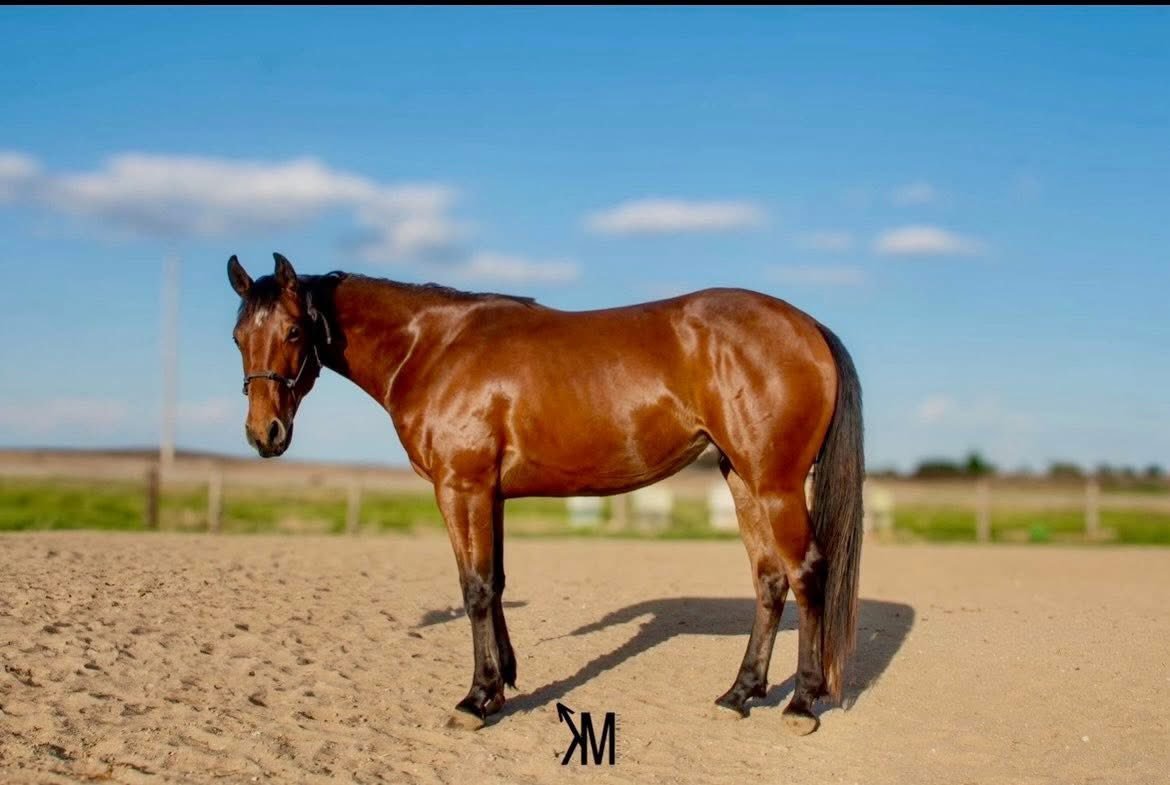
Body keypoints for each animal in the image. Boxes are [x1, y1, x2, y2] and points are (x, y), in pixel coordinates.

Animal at [227, 252, 864, 734]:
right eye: (237, 337)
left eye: (293, 331)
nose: (265, 434)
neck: (433, 346)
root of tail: (807, 326)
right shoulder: (490, 494)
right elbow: (496, 583)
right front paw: (501, 683)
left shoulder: (462, 488)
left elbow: (475, 588)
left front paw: (475, 700)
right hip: (743, 480)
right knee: (769, 579)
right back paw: (739, 693)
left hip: (776, 485)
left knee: (807, 573)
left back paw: (801, 703)